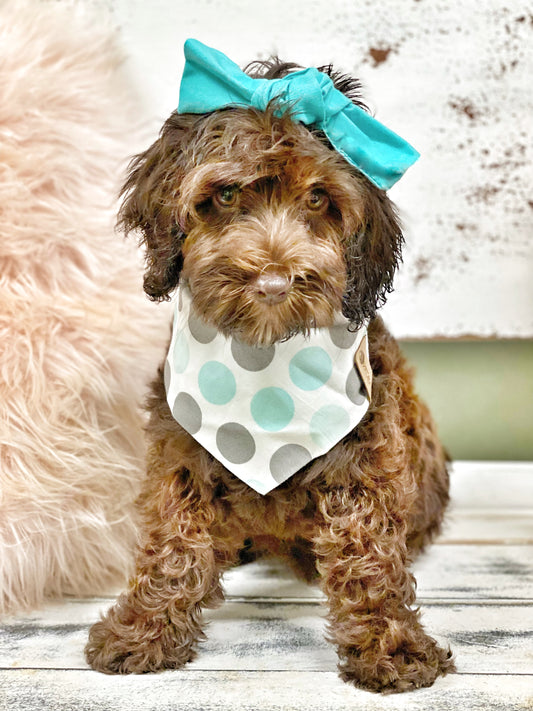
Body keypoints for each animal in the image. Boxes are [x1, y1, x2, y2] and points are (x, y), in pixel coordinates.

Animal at [84, 41, 454, 692]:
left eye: (318, 199)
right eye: (228, 196)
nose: (275, 282)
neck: (261, 359)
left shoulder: (367, 449)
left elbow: (368, 547)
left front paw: (390, 644)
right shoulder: (180, 449)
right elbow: (172, 538)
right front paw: (145, 631)